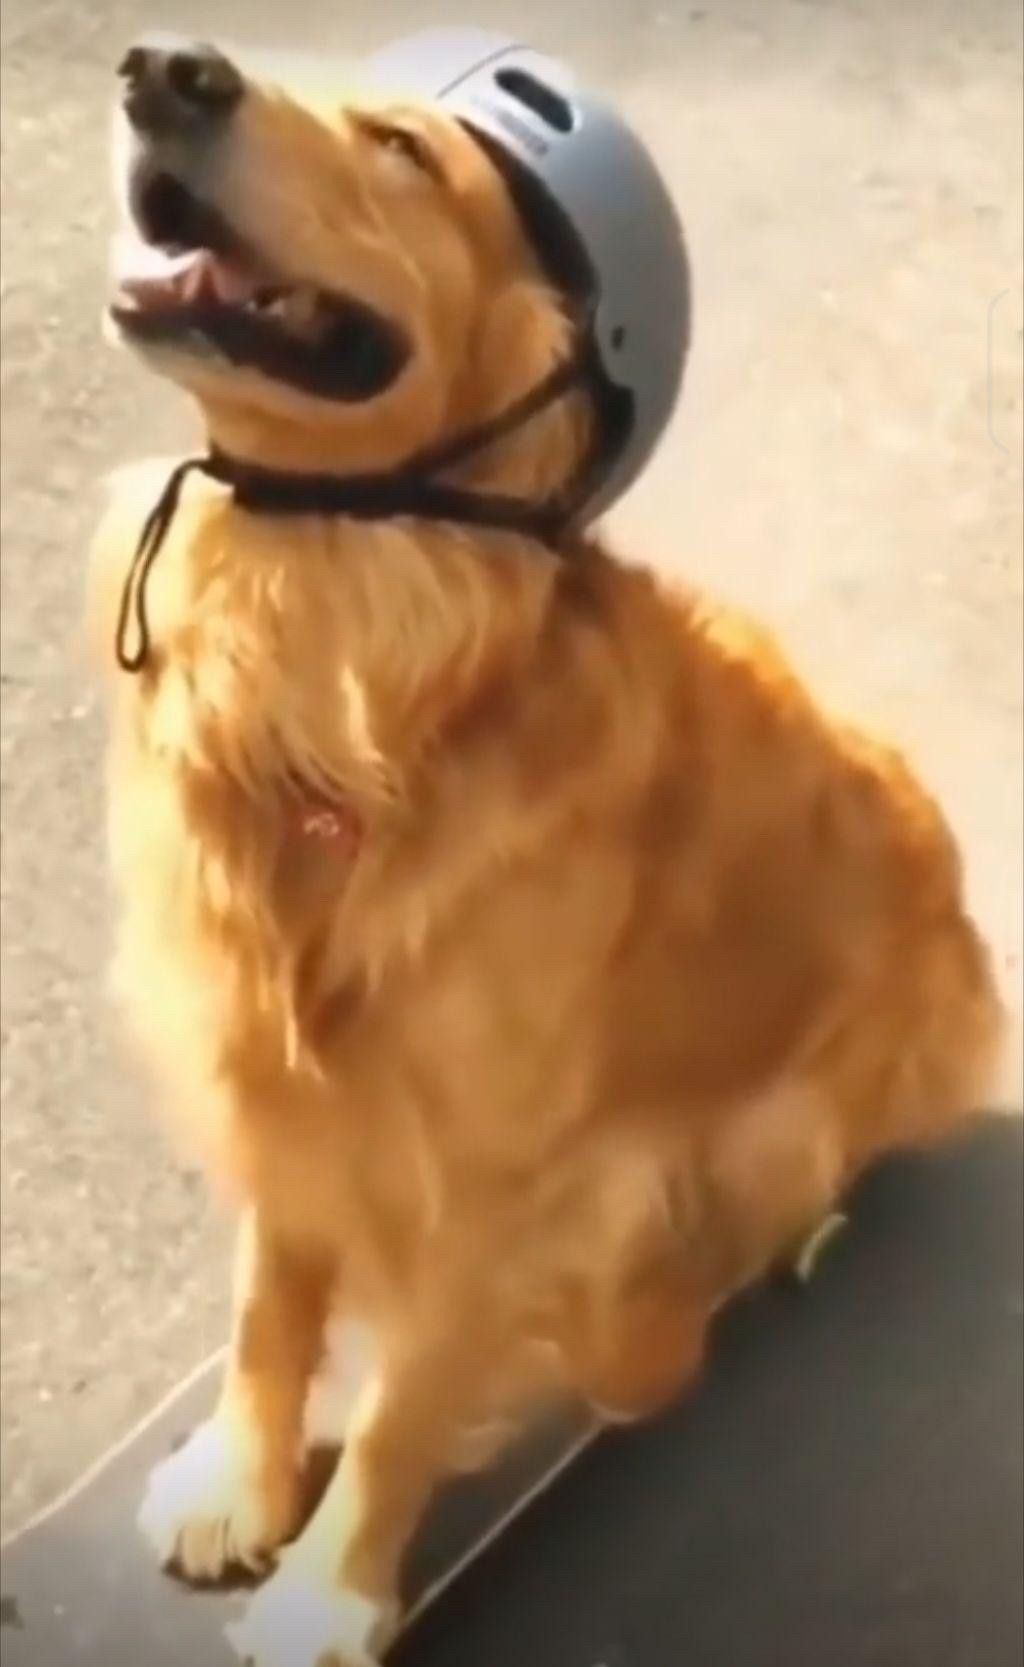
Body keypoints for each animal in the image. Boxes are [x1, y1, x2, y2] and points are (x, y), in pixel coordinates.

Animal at [92, 39, 1007, 1667]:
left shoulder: (493, 1174)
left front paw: (326, 1587)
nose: (166, 69)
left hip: (794, 1115)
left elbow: (400, 1409)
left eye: (402, 150)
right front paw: (239, 1479)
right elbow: (270, 1294)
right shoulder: (284, 1080)